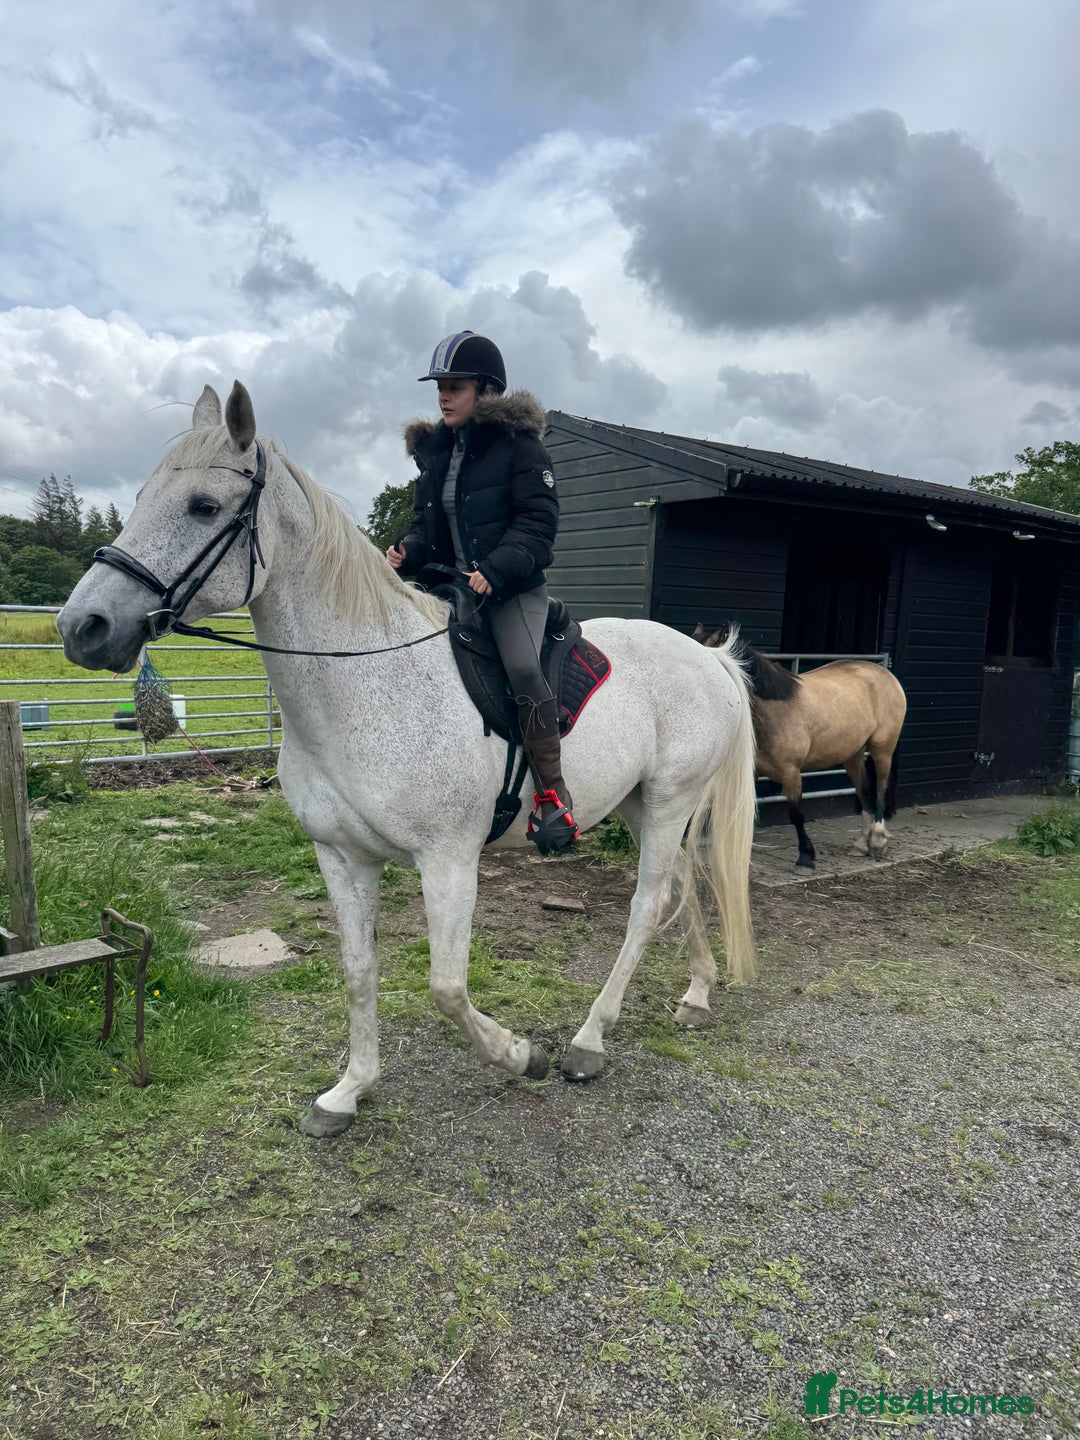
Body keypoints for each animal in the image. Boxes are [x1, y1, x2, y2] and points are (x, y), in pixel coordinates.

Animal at [57, 381, 759, 1136]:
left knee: (647, 904)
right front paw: (348, 1091)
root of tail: (709, 657)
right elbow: (359, 971)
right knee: (685, 884)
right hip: (640, 804)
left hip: (669, 799)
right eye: (140, 499)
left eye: (204, 507)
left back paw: (588, 1041)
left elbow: (446, 986)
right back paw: (696, 994)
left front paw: (521, 1056)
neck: (367, 680)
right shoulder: (341, 856)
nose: (82, 627)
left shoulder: (448, 860)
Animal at [693, 625, 907, 871]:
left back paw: (878, 839)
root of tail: (885, 673)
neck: (772, 711)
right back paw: (862, 844)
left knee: (881, 786)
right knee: (864, 790)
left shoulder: (791, 772)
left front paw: (805, 857)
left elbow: (796, 814)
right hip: (852, 754)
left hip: (883, 747)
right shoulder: (752, 772)